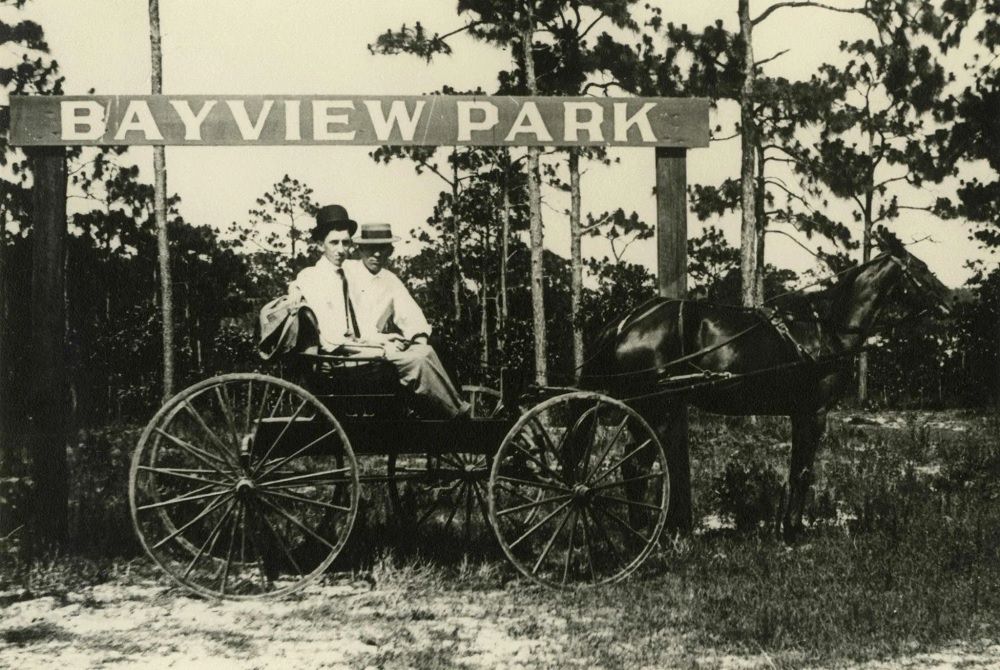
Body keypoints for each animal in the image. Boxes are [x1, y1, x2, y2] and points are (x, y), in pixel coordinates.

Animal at [584, 231, 948, 540]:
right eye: (921, 268)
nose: (952, 301)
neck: (825, 327)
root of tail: (626, 323)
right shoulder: (813, 412)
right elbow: (802, 471)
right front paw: (793, 530)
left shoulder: (800, 414)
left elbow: (796, 469)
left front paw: (788, 526)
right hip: (655, 409)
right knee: (635, 466)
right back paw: (643, 535)